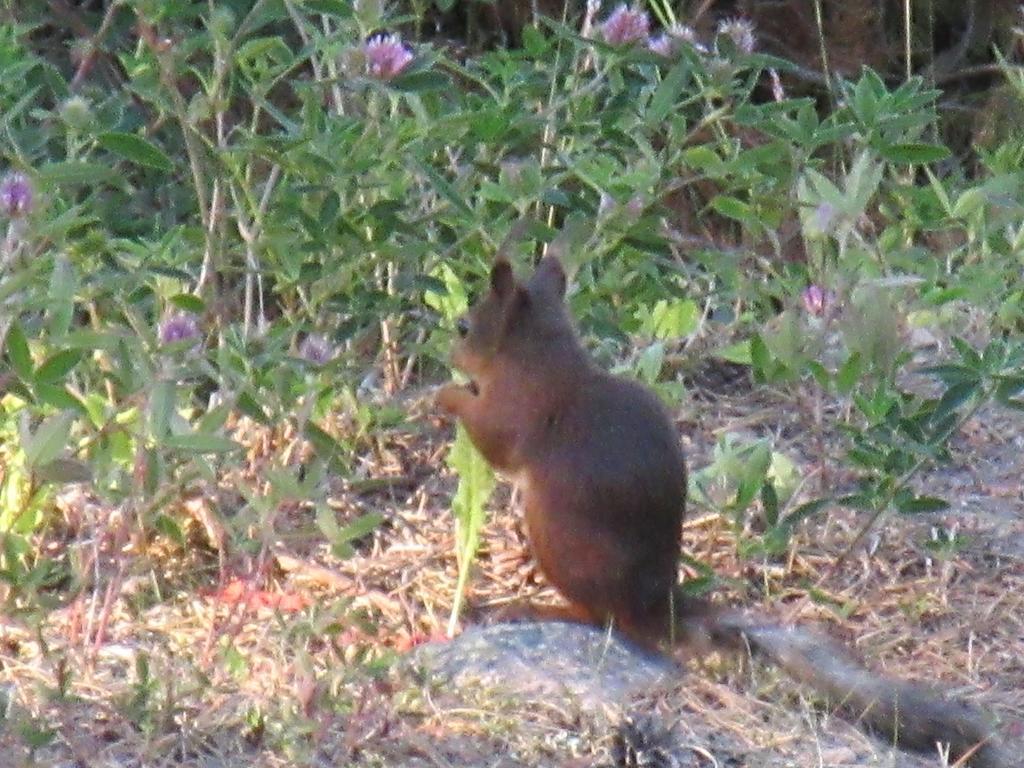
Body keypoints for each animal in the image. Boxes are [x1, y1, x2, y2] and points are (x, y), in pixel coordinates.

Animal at [434, 253, 1007, 768]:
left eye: (465, 325)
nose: (451, 351)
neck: (539, 357)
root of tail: (659, 607)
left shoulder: (516, 411)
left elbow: (492, 437)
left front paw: (445, 395)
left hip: (559, 543)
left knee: (603, 619)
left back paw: (536, 608)